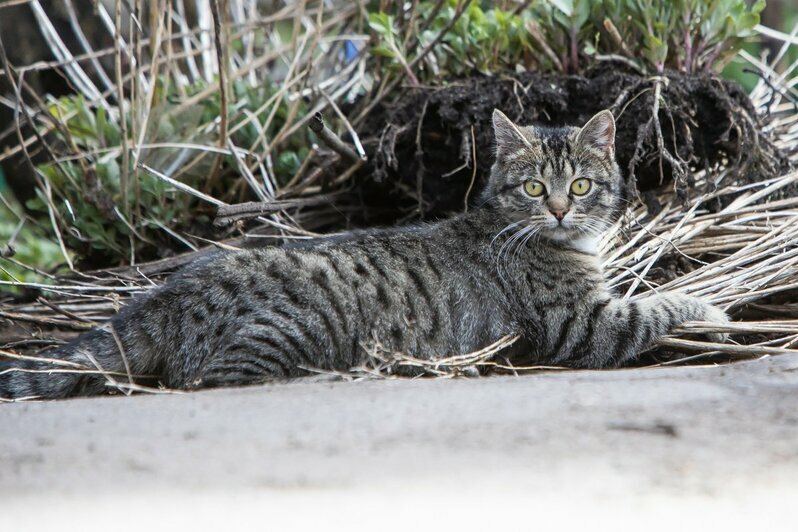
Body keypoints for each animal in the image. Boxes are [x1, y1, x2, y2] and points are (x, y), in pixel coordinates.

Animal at [0, 109, 732, 400]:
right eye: (534, 188)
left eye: (579, 185)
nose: (556, 208)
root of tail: (171, 288)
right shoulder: (576, 325)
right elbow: (653, 307)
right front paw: (710, 307)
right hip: (287, 331)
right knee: (211, 382)